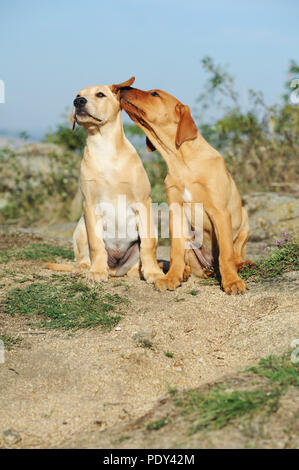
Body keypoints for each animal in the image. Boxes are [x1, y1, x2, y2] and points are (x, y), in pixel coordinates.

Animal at [46, 77, 164, 282]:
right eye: (77, 95)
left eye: (100, 94)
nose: (78, 102)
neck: (104, 147)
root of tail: (115, 269)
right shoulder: (90, 205)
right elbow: (96, 244)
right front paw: (97, 272)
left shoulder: (143, 202)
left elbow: (148, 245)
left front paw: (153, 273)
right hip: (81, 226)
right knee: (83, 257)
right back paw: (85, 269)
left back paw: (138, 271)